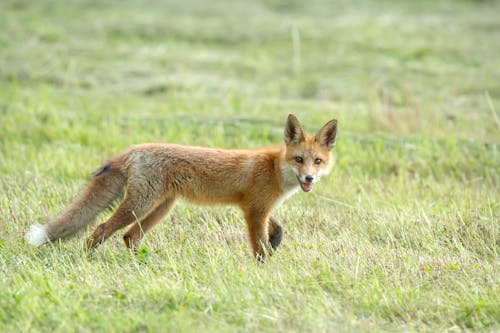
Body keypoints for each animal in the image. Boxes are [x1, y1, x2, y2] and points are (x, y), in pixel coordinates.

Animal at [24, 114, 336, 260]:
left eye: (317, 161)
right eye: (299, 160)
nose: (309, 179)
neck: (273, 169)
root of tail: (134, 149)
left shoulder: (258, 208)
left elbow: (277, 230)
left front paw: (275, 244)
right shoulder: (254, 211)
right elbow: (257, 246)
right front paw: (264, 268)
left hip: (162, 207)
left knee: (129, 237)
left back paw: (140, 266)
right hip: (141, 205)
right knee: (101, 229)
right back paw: (87, 259)